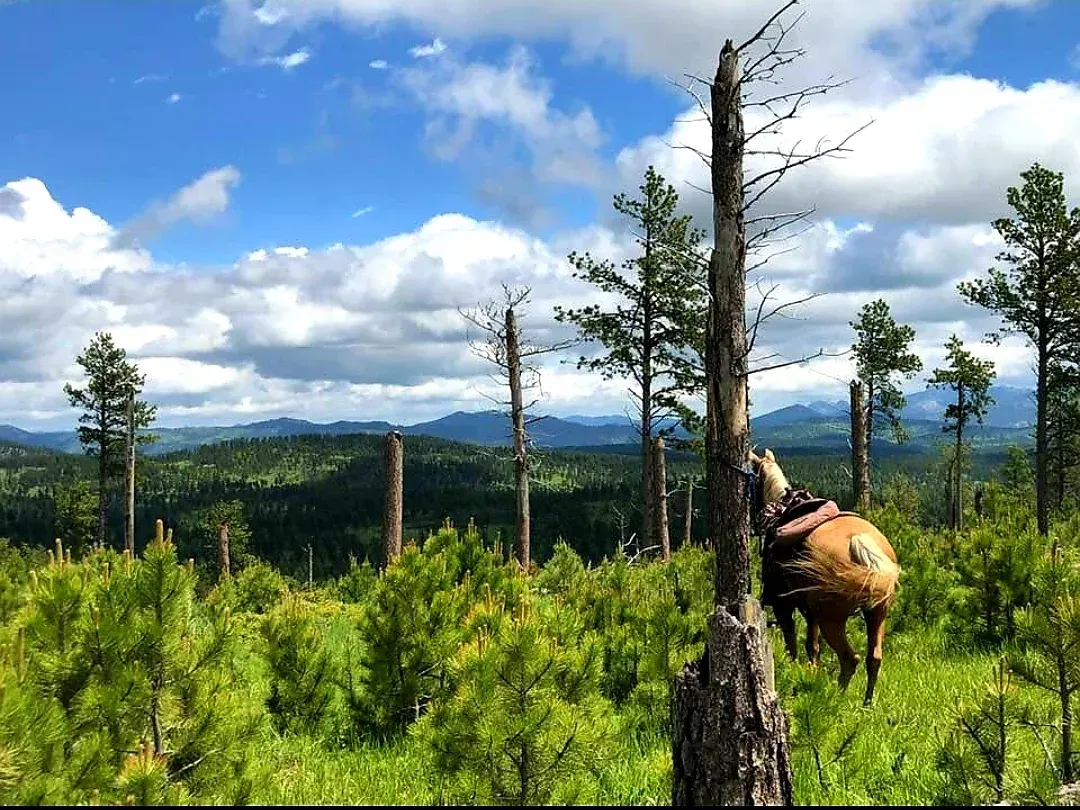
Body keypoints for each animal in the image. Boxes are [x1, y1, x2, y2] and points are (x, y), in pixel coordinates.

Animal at [748, 448, 900, 706]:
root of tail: (860, 541)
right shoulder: (812, 614)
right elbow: (813, 646)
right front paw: (812, 674)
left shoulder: (783, 606)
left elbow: (792, 644)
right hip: (878, 612)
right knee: (874, 658)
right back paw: (867, 703)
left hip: (833, 619)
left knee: (850, 658)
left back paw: (836, 698)